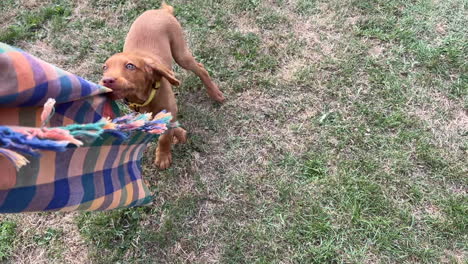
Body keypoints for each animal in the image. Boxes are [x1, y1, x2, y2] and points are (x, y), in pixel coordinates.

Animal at [102, 3, 225, 169]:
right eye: (104, 68)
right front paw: (178, 134)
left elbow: (165, 136)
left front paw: (163, 155)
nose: (106, 80)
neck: (145, 96)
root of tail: (161, 11)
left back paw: (215, 93)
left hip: (180, 53)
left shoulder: (170, 109)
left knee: (200, 68)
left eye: (130, 66)